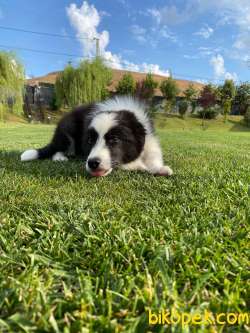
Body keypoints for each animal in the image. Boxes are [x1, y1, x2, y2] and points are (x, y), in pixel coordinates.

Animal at [20, 95, 173, 176]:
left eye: (114, 139)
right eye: (90, 141)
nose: (92, 163)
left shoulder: (148, 137)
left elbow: (153, 154)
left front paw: (159, 168)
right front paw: (141, 166)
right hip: (67, 129)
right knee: (58, 147)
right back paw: (60, 157)